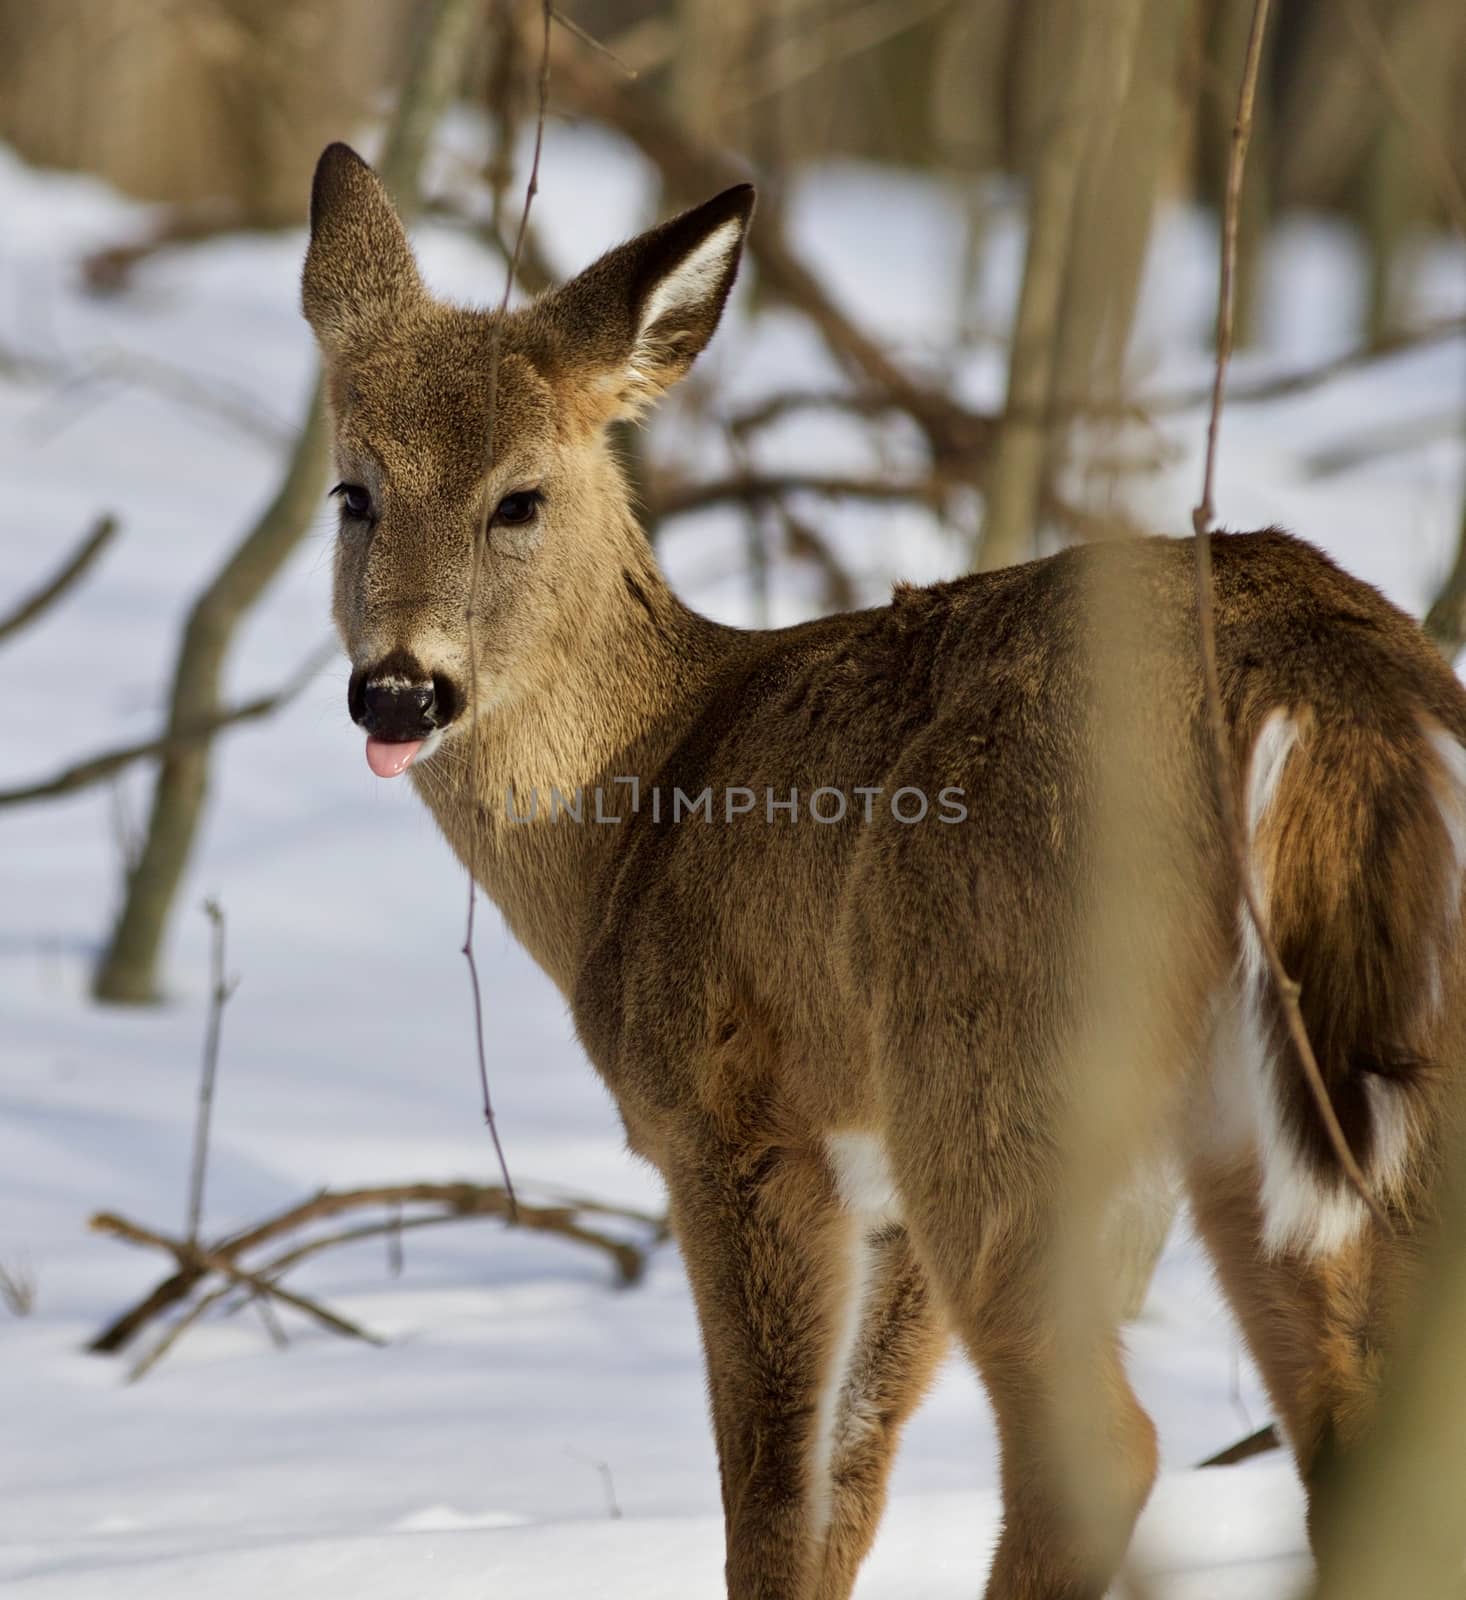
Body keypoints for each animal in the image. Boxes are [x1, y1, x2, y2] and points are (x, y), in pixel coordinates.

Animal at [300, 144, 1466, 1593]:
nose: (397, 691)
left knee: (1100, 1448)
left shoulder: (730, 1111)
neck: (641, 803)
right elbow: (850, 1470)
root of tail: (1324, 678)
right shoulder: (876, 1178)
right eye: (353, 491)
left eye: (520, 496)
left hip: (993, 1046)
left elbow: (772, 1493)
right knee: (1367, 1442)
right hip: (1308, 1103)